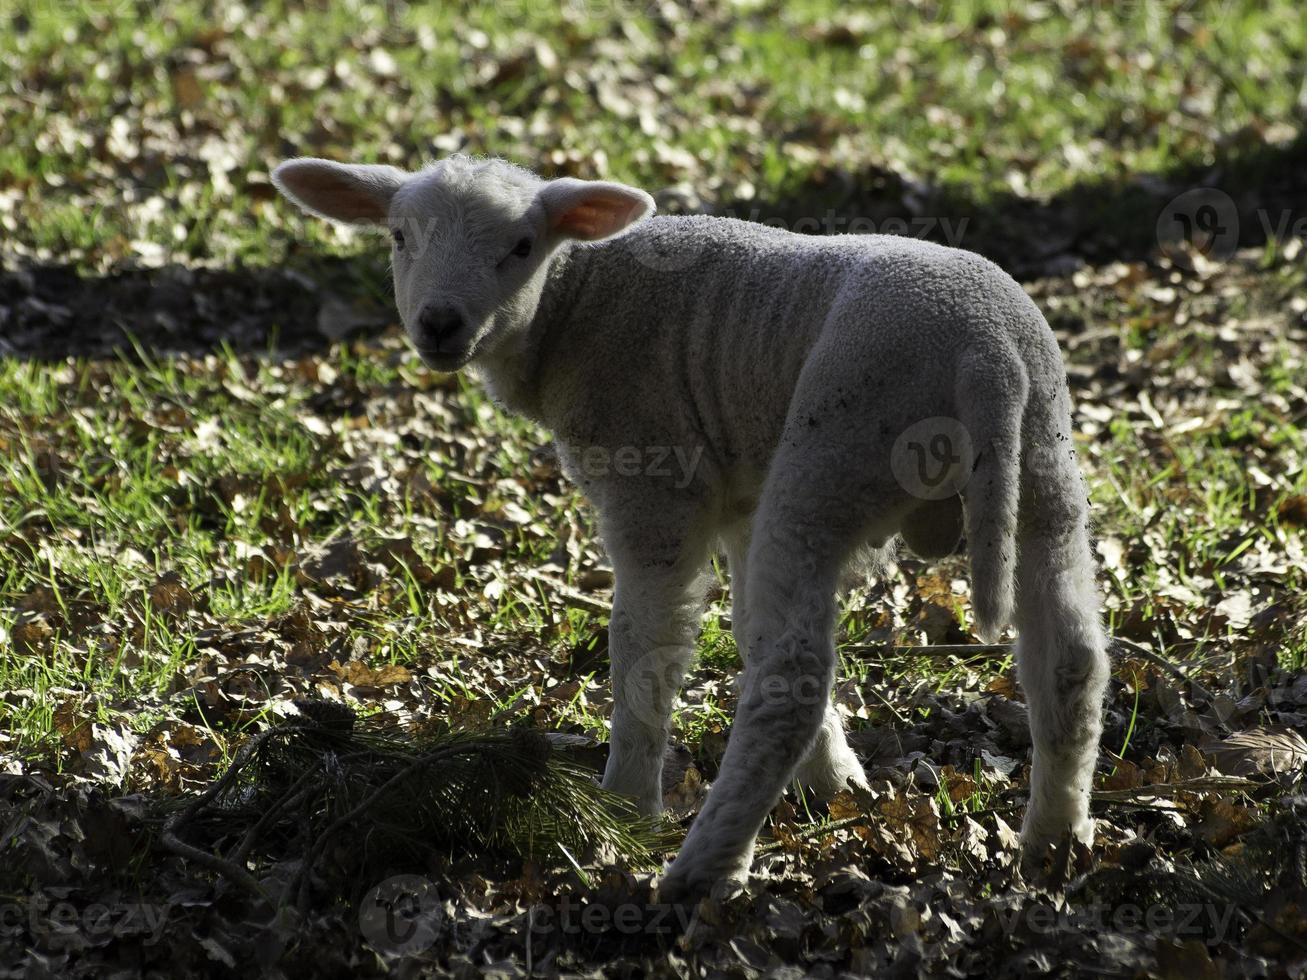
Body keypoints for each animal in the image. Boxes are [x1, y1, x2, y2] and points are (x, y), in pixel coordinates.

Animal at [270, 155, 1108, 904]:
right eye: (398, 237)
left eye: (521, 246)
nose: (439, 324)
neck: (573, 306)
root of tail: (986, 361)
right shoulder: (738, 493)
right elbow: (743, 628)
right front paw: (835, 782)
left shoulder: (655, 485)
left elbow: (647, 646)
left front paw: (624, 810)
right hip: (1043, 464)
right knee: (1068, 658)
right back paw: (1051, 846)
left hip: (835, 453)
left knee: (792, 678)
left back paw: (701, 870)